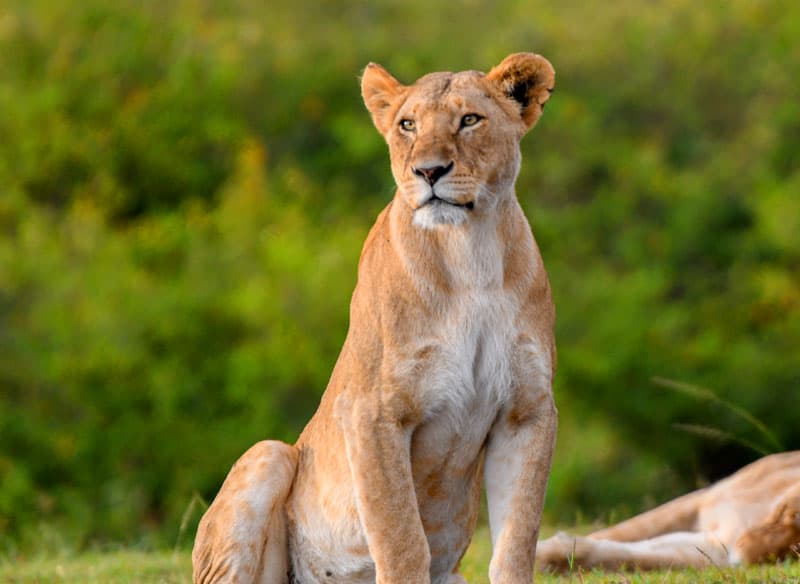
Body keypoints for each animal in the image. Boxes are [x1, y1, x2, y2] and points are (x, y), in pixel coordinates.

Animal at [536, 452, 800, 572]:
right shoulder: (700, 499)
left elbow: (633, 556)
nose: (744, 555)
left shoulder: (718, 551)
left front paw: (548, 557)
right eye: (789, 513)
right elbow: (622, 531)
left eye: (793, 553)